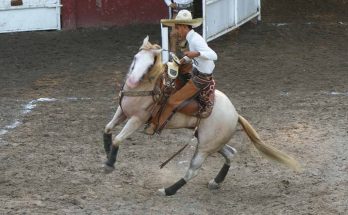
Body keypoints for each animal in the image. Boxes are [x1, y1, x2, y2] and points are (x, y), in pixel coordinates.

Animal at [102, 36, 300, 196]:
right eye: (136, 58)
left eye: (150, 64)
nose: (132, 81)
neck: (149, 88)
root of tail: (235, 114)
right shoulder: (122, 111)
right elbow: (108, 128)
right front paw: (107, 153)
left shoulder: (137, 119)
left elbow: (118, 139)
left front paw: (110, 165)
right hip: (209, 141)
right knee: (231, 153)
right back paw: (216, 182)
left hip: (205, 146)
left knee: (192, 171)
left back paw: (168, 190)